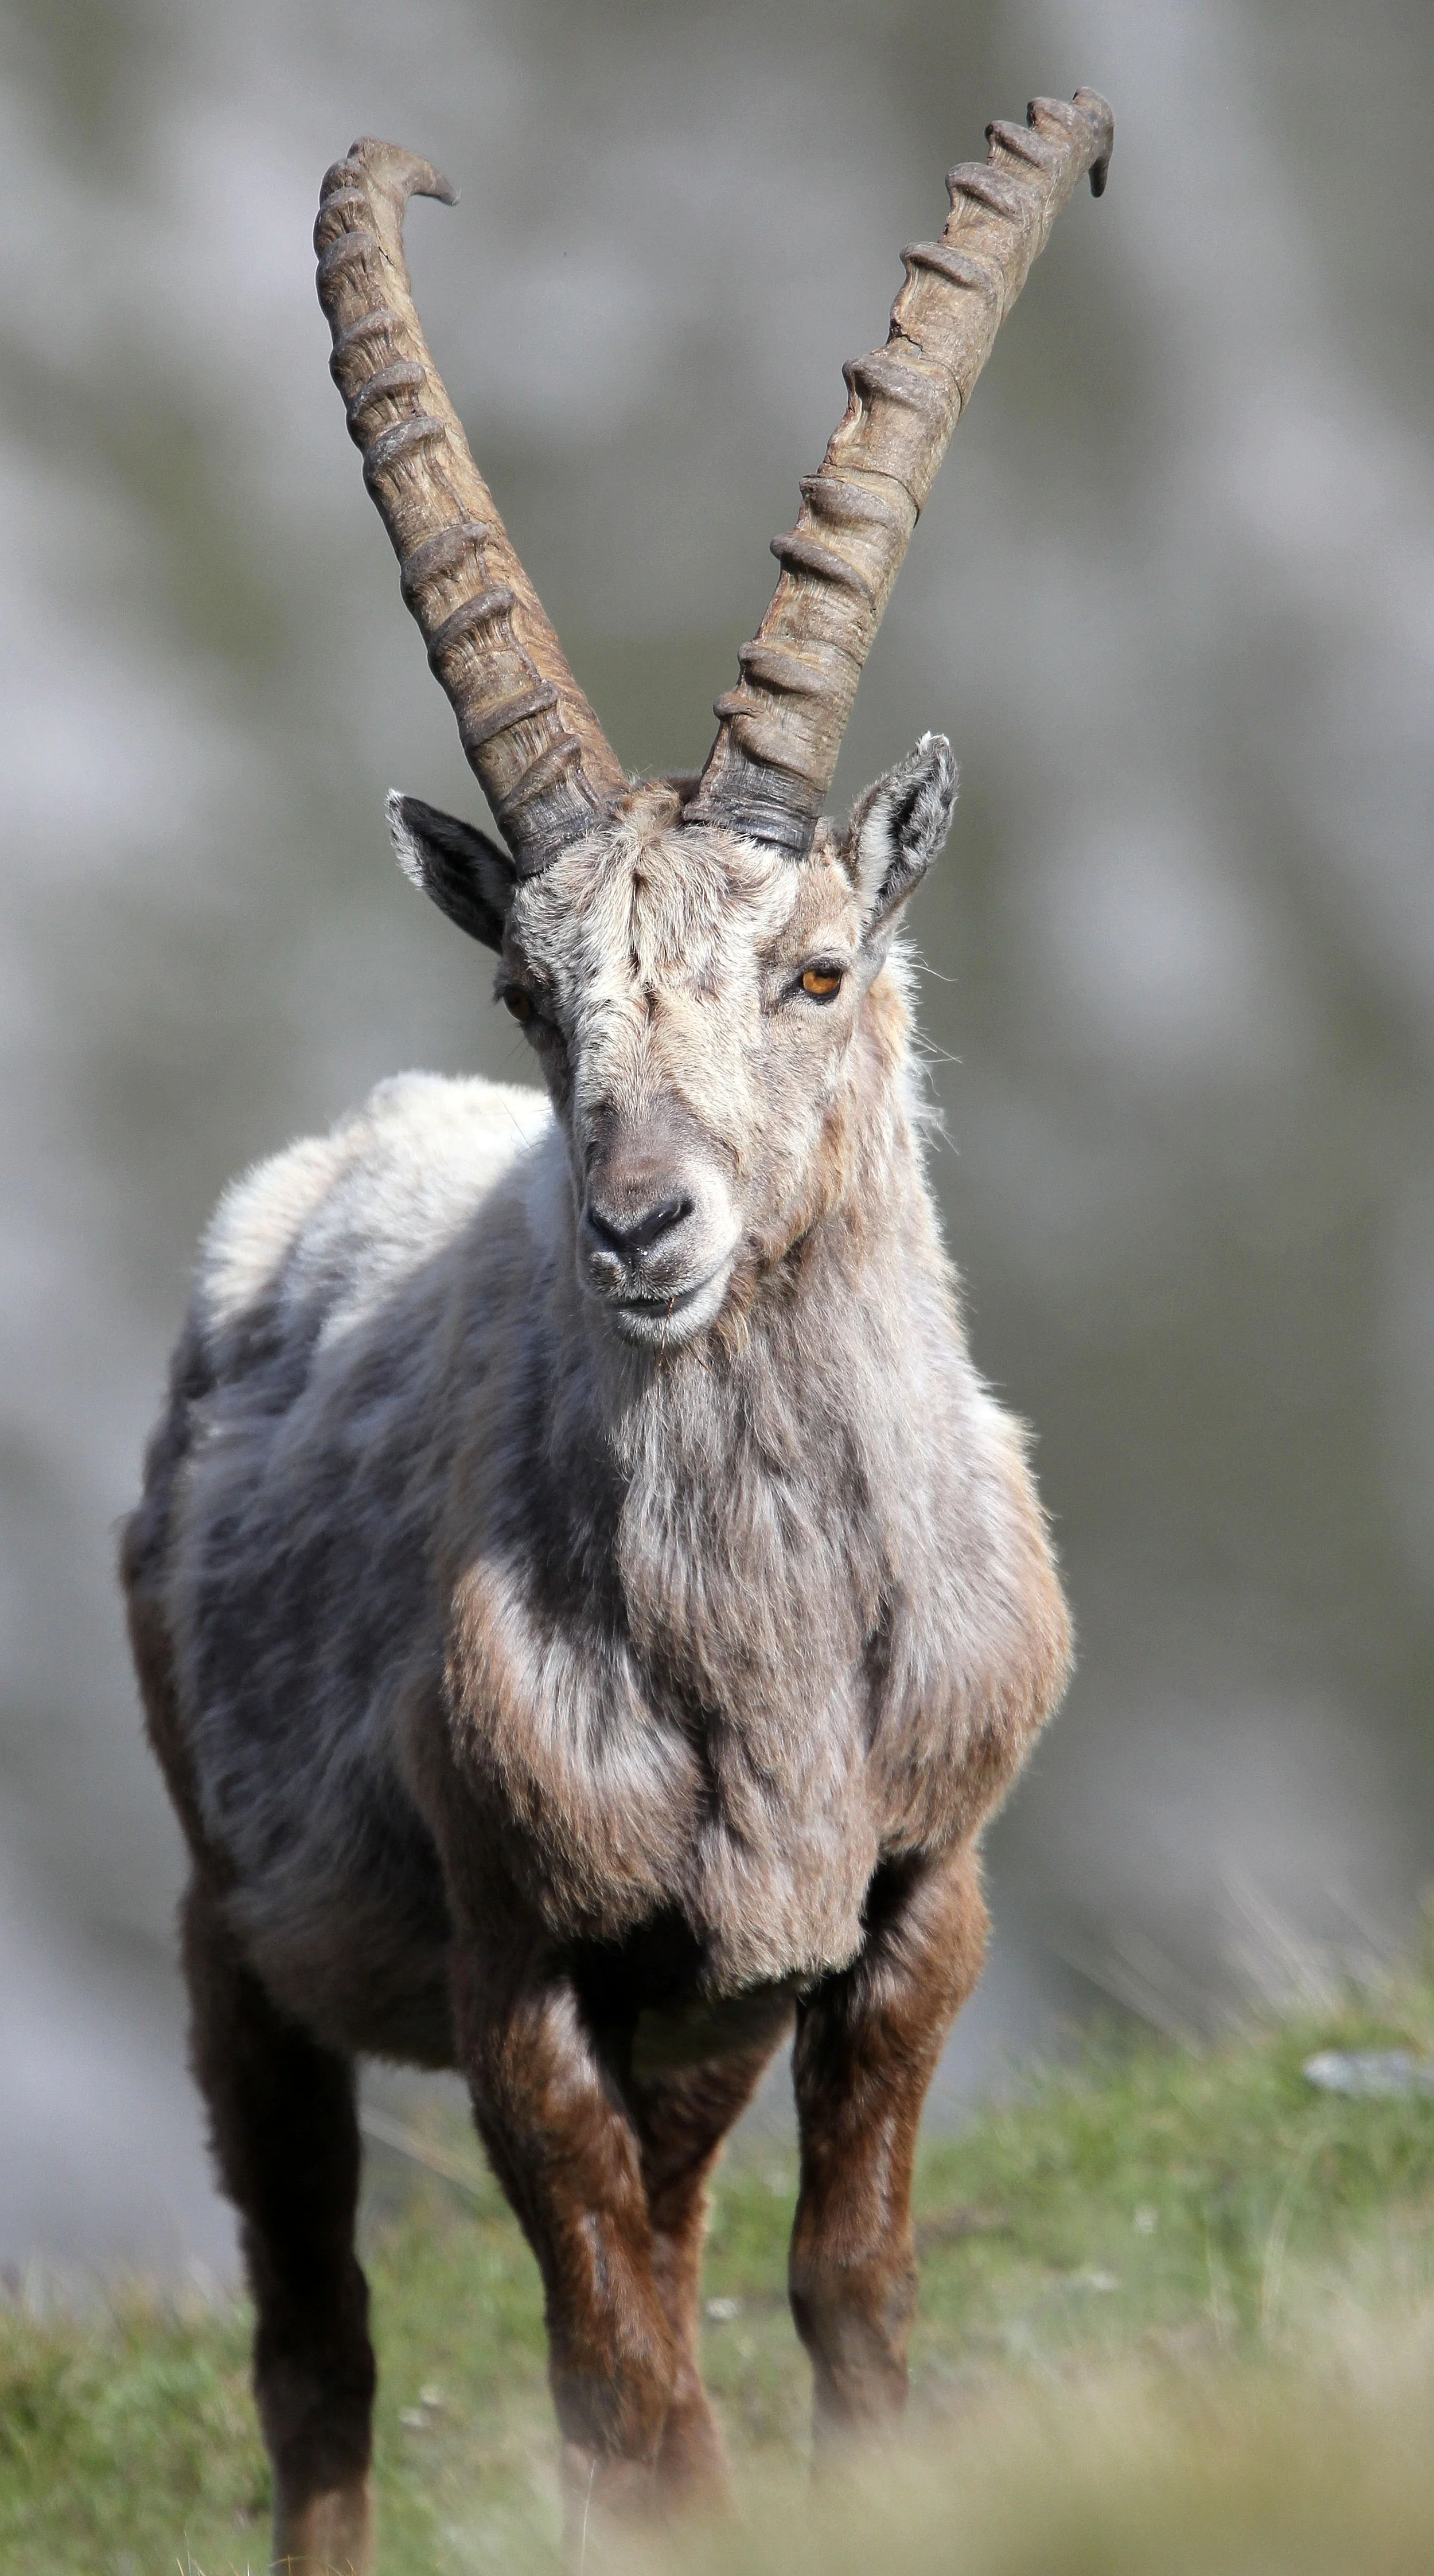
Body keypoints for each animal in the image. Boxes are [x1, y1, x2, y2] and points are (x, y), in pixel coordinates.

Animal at [122, 91, 1111, 2574]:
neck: (771, 1655)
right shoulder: (522, 1975)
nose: (642, 1221)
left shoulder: (896, 1917)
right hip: (237, 1943)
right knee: (321, 2362)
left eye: (817, 968)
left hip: (705, 2025)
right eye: (534, 991)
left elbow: (844, 2301)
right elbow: (635, 2401)